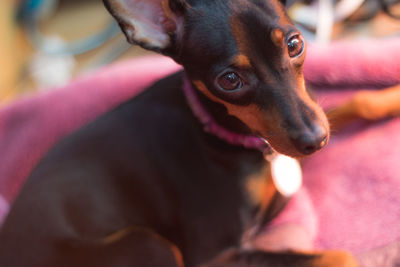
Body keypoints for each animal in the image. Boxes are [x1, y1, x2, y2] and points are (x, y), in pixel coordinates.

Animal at [0, 0, 356, 267]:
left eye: (295, 44)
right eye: (229, 81)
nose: (315, 141)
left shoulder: (306, 124)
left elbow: (351, 102)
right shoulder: (215, 256)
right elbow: (340, 256)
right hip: (148, 244)